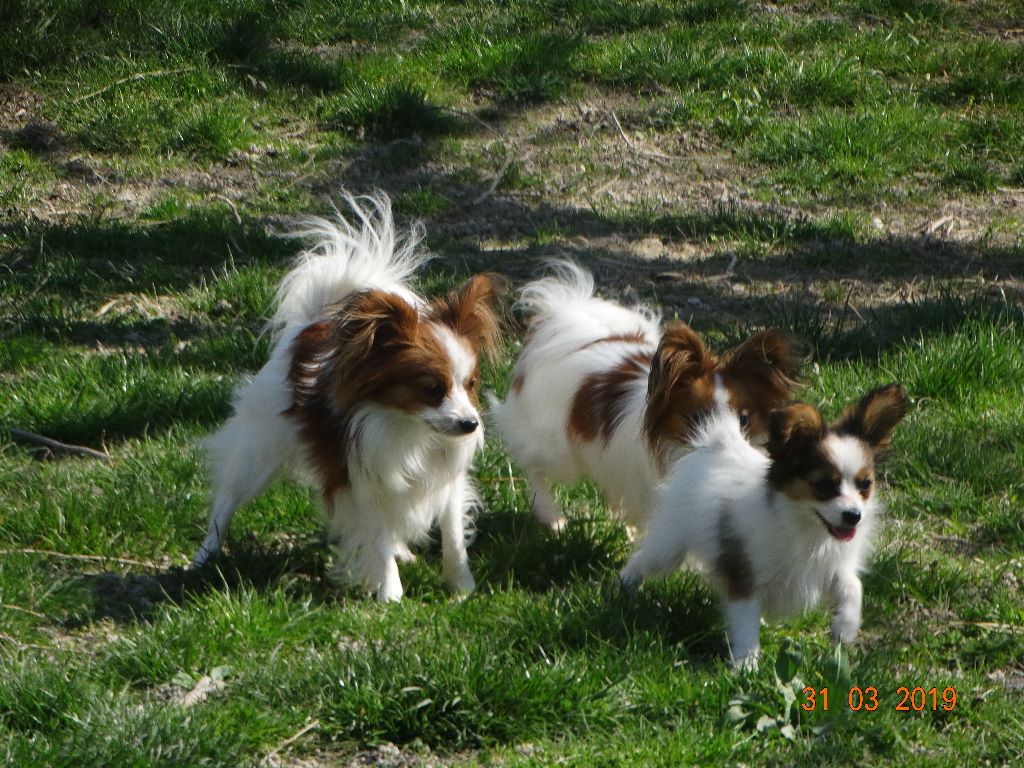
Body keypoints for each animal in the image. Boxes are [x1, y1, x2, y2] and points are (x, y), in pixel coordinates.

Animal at [192, 191, 499, 602]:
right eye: (433, 389)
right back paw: (204, 557)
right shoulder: (360, 482)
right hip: (259, 450)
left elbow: (452, 536)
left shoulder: (445, 482)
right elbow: (377, 536)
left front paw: (461, 588)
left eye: (470, 385)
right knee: (226, 501)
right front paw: (391, 596)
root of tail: (314, 323)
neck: (411, 431)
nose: (470, 423)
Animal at [491, 262, 802, 532]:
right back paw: (551, 516)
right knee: (532, 464)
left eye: (744, 419)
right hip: (557, 450)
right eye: (695, 419)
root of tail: (563, 319)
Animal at [618, 382, 909, 667]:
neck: (806, 527)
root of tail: (718, 445)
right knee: (646, 559)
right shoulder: (744, 576)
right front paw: (746, 665)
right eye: (825, 485)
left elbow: (852, 585)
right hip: (670, 544)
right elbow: (745, 624)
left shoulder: (828, 567)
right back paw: (625, 585)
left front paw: (845, 627)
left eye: (865, 485)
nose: (853, 515)